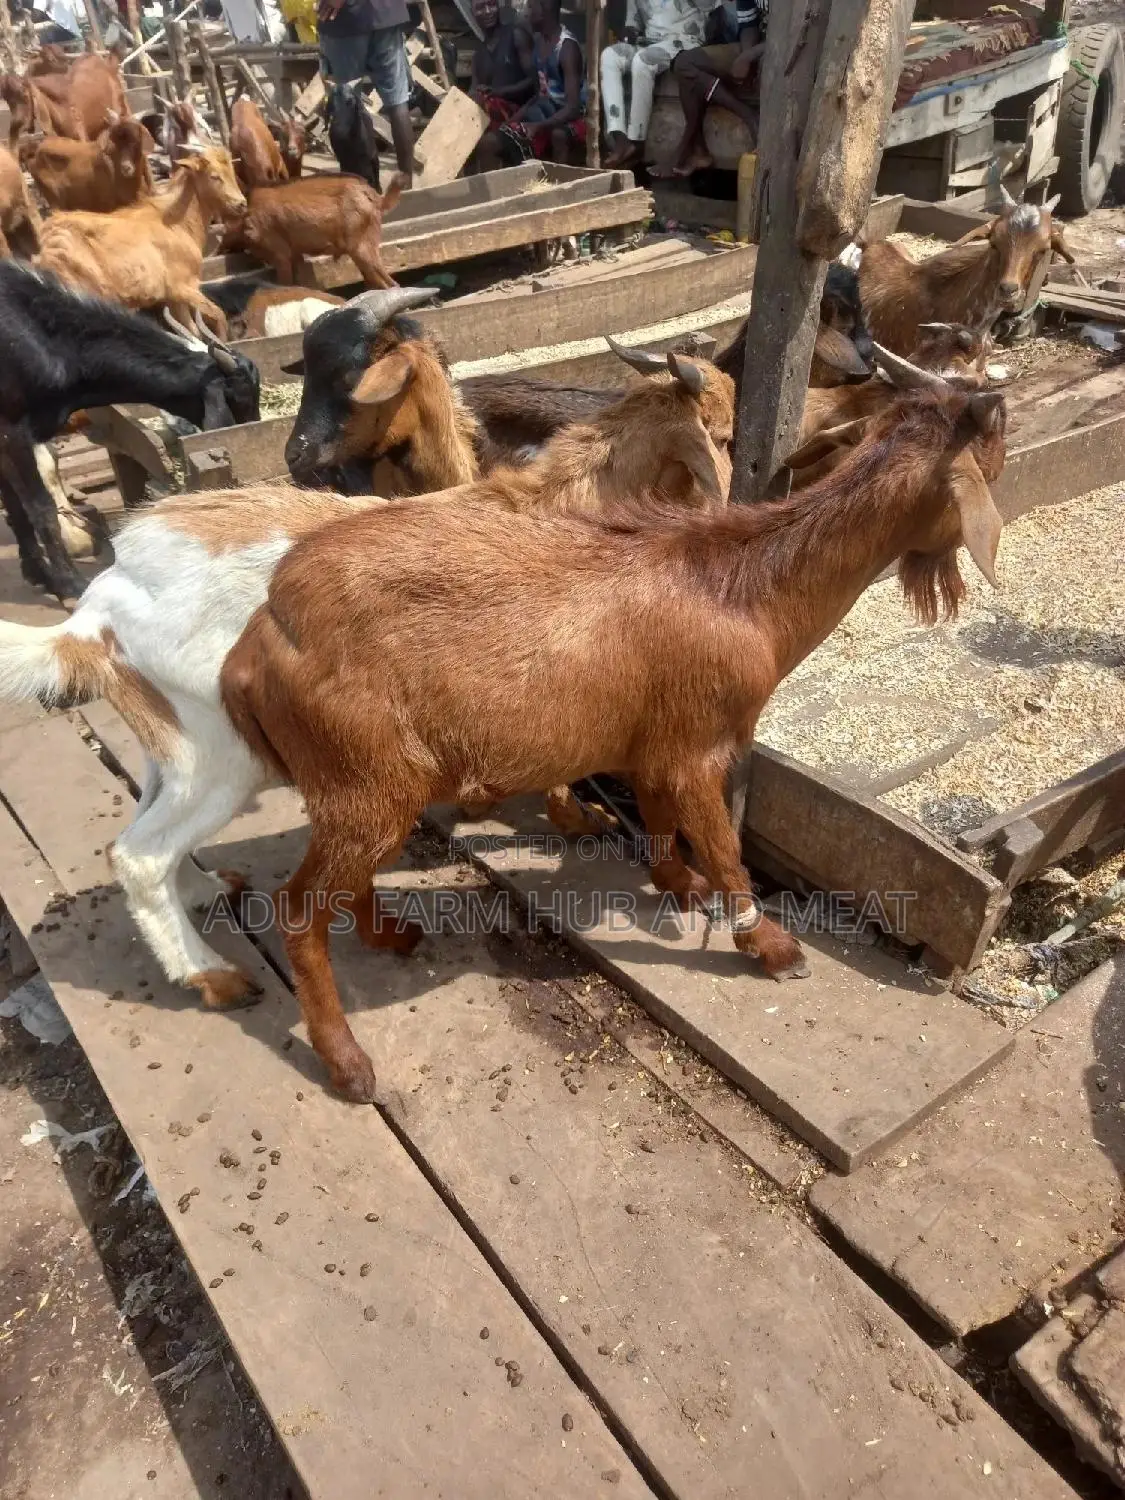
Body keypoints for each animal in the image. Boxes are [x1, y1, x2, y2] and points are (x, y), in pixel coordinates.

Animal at [0, 259, 260, 598]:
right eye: (241, 395)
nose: (252, 427)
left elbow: (15, 508)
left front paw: (36, 572)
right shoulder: (13, 431)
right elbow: (39, 509)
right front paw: (69, 583)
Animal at [0, 326, 733, 1024]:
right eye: (723, 436)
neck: (563, 501)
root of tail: (97, 610)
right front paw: (575, 816)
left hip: (172, 742)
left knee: (142, 830)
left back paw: (206, 891)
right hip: (223, 755)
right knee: (140, 855)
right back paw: (213, 976)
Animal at [37, 147, 246, 336]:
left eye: (232, 172)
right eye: (214, 176)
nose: (241, 204)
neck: (178, 223)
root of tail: (47, 244)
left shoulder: (174, 298)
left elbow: (192, 330)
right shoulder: (183, 286)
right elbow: (218, 315)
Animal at [216, 365, 1007, 1100]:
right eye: (994, 447)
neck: (741, 590)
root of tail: (255, 646)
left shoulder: (653, 743)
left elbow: (659, 817)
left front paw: (676, 883)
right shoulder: (697, 746)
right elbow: (724, 849)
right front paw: (771, 947)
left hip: (366, 791)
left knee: (346, 883)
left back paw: (394, 936)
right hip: (360, 780)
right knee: (297, 911)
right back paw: (347, 1062)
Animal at [240, 172, 405, 289]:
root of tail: (375, 197)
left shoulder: (280, 252)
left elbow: (285, 283)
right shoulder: (295, 252)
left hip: (360, 245)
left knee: (385, 279)